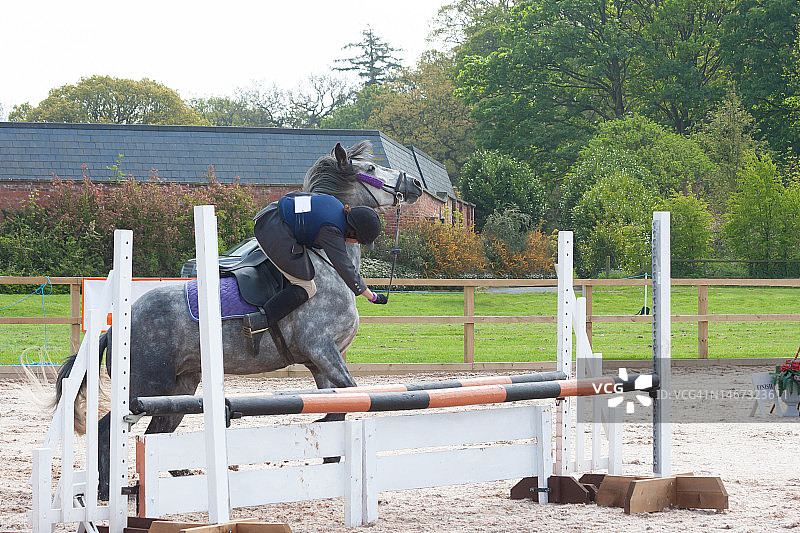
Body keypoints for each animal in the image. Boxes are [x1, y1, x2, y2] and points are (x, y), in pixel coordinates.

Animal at [53, 139, 422, 496]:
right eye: (371, 168)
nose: (415, 184)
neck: (327, 262)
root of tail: (113, 329)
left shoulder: (324, 361)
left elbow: (339, 401)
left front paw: (330, 456)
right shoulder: (320, 348)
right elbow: (350, 393)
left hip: (179, 387)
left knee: (158, 432)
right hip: (144, 386)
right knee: (107, 429)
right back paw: (105, 490)